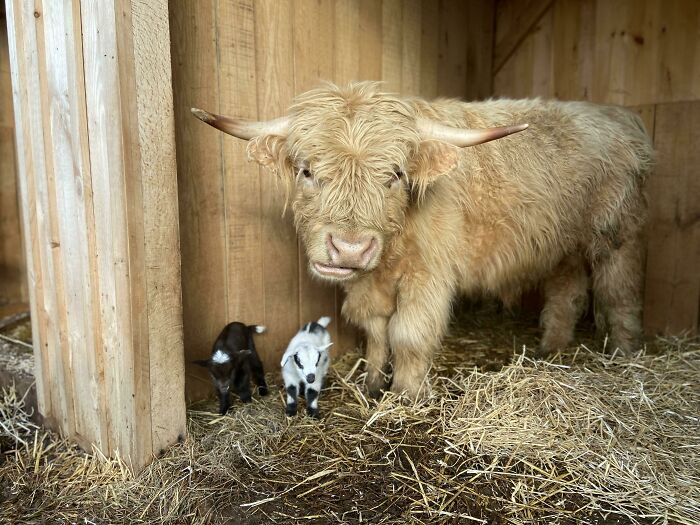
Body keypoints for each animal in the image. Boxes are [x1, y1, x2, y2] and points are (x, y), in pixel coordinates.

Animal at [192, 81, 654, 399]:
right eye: (307, 171)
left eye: (395, 175)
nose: (351, 248)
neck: (391, 250)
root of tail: (619, 117)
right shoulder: (368, 285)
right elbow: (376, 330)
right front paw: (373, 382)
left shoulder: (428, 276)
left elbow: (407, 334)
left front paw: (405, 394)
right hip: (563, 244)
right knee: (567, 293)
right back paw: (552, 350)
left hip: (618, 233)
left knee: (619, 292)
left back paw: (624, 354)